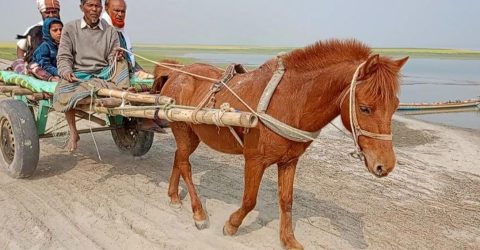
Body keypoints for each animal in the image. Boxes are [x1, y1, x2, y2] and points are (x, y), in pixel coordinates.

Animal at [158, 39, 408, 248]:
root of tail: (176, 74)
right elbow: (249, 200)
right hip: (182, 130)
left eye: (396, 106)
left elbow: (286, 201)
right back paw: (199, 213)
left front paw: (288, 240)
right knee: (186, 166)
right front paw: (231, 225)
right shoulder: (254, 160)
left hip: (191, 135)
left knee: (179, 158)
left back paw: (173, 196)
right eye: (365, 108)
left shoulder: (289, 161)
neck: (288, 101)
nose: (385, 165)